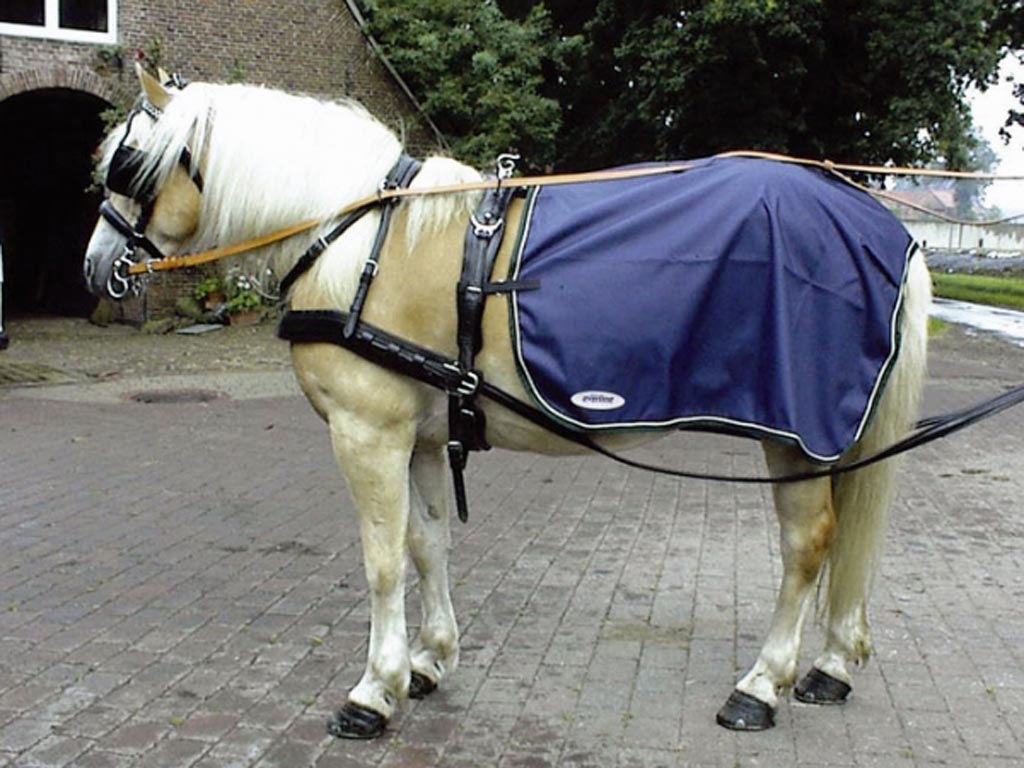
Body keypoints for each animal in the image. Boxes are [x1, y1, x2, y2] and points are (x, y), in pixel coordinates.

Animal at [83, 66, 931, 739]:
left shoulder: (368, 431)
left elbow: (382, 562)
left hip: (794, 433)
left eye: (129, 165)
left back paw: (761, 684)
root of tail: (881, 225)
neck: (363, 242)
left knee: (807, 543)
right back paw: (829, 665)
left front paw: (374, 690)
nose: (95, 267)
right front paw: (428, 662)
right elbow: (427, 545)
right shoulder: (423, 435)